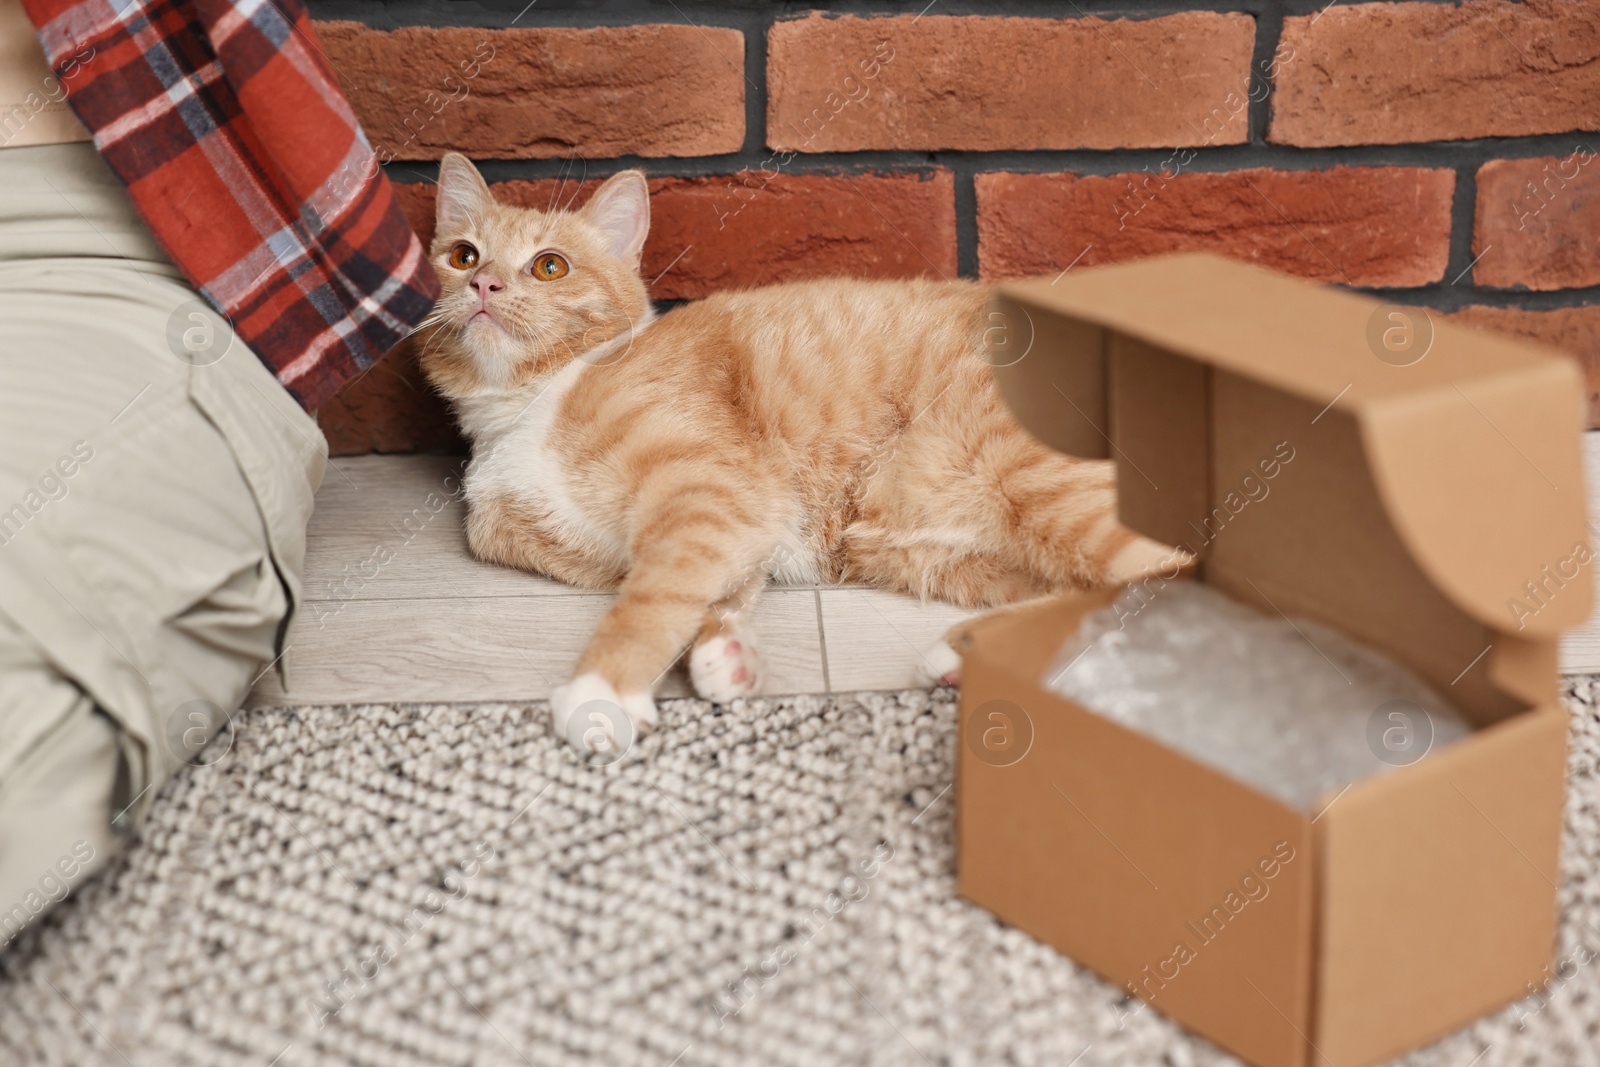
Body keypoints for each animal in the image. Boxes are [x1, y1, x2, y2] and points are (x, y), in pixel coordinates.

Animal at [422, 154, 1177, 755]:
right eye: (463, 256)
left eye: (549, 266)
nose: (484, 285)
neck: (528, 407)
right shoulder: (726, 526)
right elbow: (706, 591)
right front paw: (727, 652)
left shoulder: (710, 495)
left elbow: (652, 598)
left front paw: (601, 688)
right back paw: (964, 655)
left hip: (1039, 485)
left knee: (1168, 581)